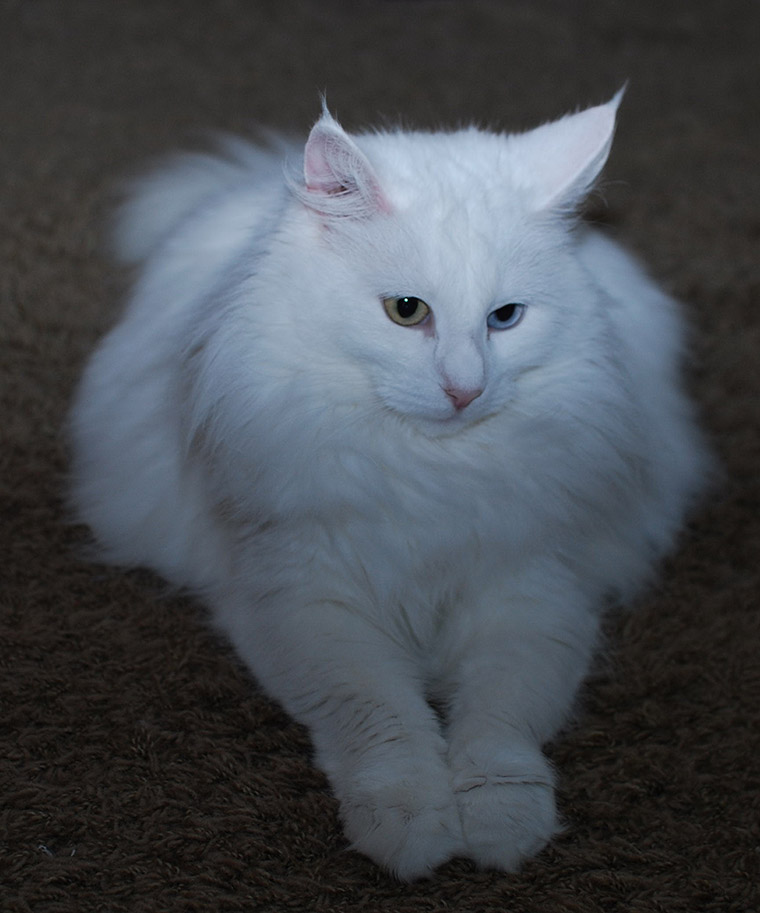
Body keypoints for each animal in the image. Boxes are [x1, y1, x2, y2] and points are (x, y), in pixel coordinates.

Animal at [68, 92, 708, 876]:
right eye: (407, 310)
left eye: (506, 318)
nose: (465, 390)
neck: (433, 475)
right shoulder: (307, 602)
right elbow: (384, 723)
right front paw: (411, 827)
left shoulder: (532, 596)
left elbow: (499, 728)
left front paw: (501, 827)